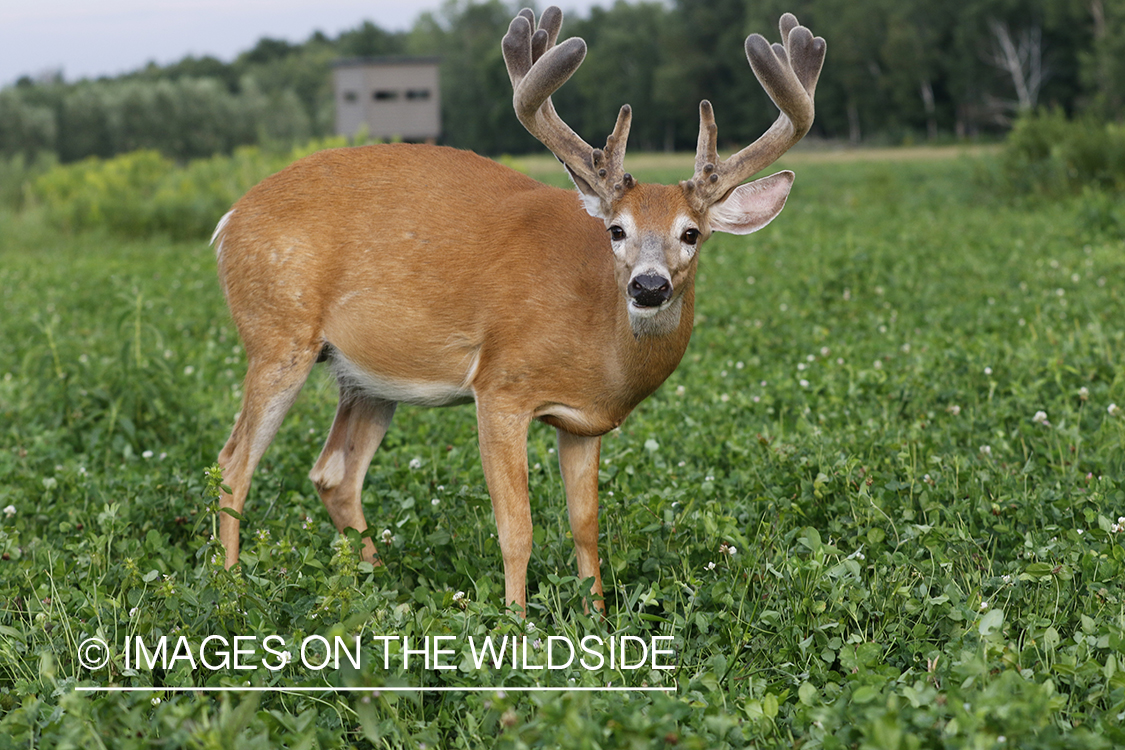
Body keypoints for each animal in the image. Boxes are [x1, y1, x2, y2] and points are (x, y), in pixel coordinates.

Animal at [211, 6, 824, 614]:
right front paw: (516, 622)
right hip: (277, 335)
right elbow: (517, 527)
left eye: (692, 233)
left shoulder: (584, 422)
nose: (648, 286)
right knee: (233, 462)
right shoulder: (501, 387)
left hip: (366, 377)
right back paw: (233, 589)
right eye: (616, 229)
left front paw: (596, 617)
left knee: (334, 474)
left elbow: (585, 526)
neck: (599, 341)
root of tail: (229, 219)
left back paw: (377, 588)